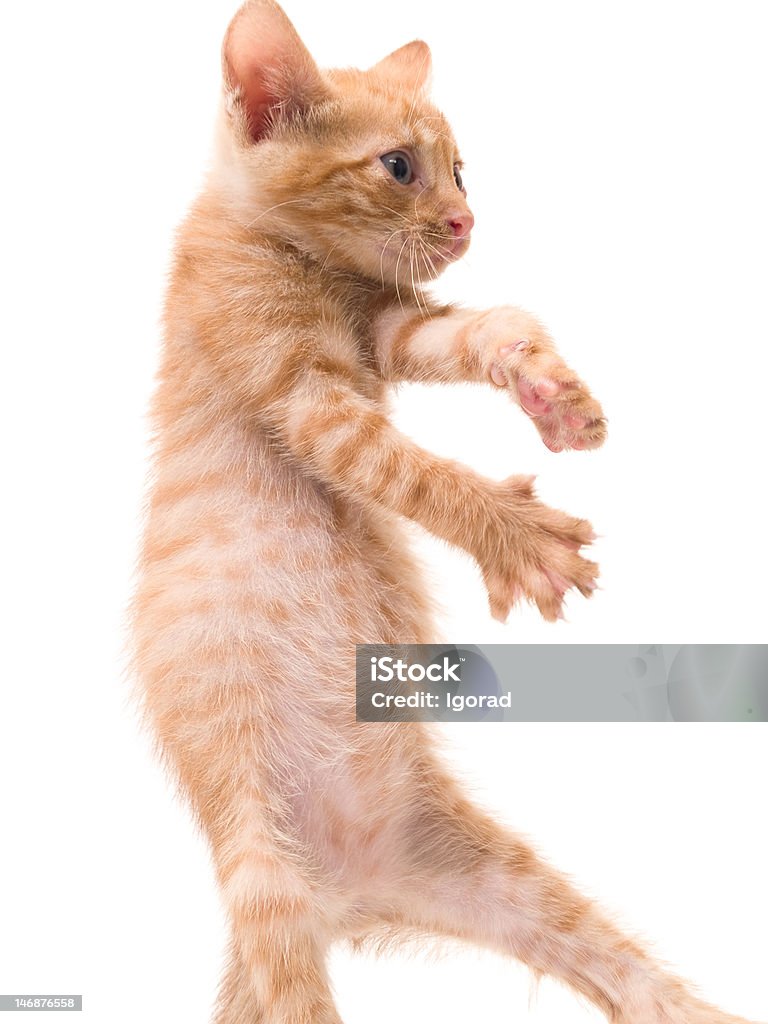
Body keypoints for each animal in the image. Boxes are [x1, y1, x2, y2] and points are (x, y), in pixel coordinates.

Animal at [135, 2, 761, 1024]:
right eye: (398, 167)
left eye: (462, 170)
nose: (467, 221)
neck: (296, 257)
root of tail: (343, 892)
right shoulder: (308, 395)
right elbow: (413, 473)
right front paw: (518, 537)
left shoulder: (390, 330)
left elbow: (488, 322)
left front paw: (554, 393)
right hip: (264, 878)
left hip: (491, 874)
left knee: (631, 979)